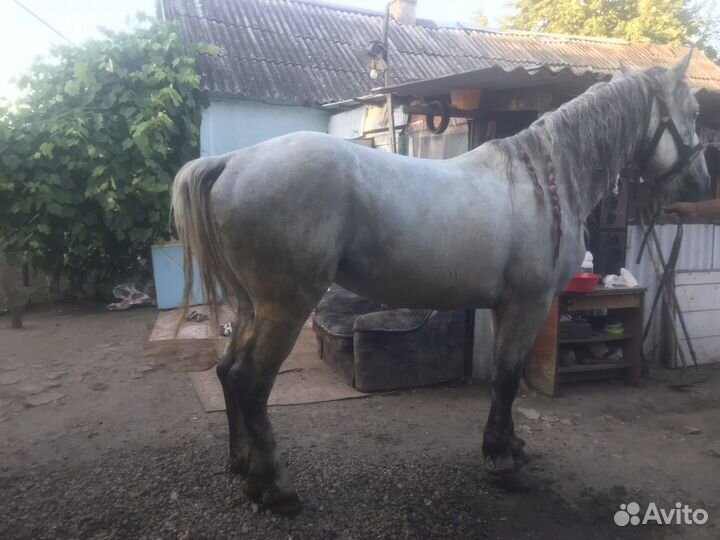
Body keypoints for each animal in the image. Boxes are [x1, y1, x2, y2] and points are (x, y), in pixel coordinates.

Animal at [172, 53, 710, 514]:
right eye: (693, 111)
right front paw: (502, 461)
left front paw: (509, 444)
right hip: (286, 306)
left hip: (251, 305)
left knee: (229, 371)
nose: (702, 186)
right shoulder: (529, 303)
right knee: (251, 381)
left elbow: (507, 378)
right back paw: (275, 490)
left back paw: (242, 466)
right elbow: (508, 378)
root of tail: (233, 162)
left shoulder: (506, 305)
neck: (546, 181)